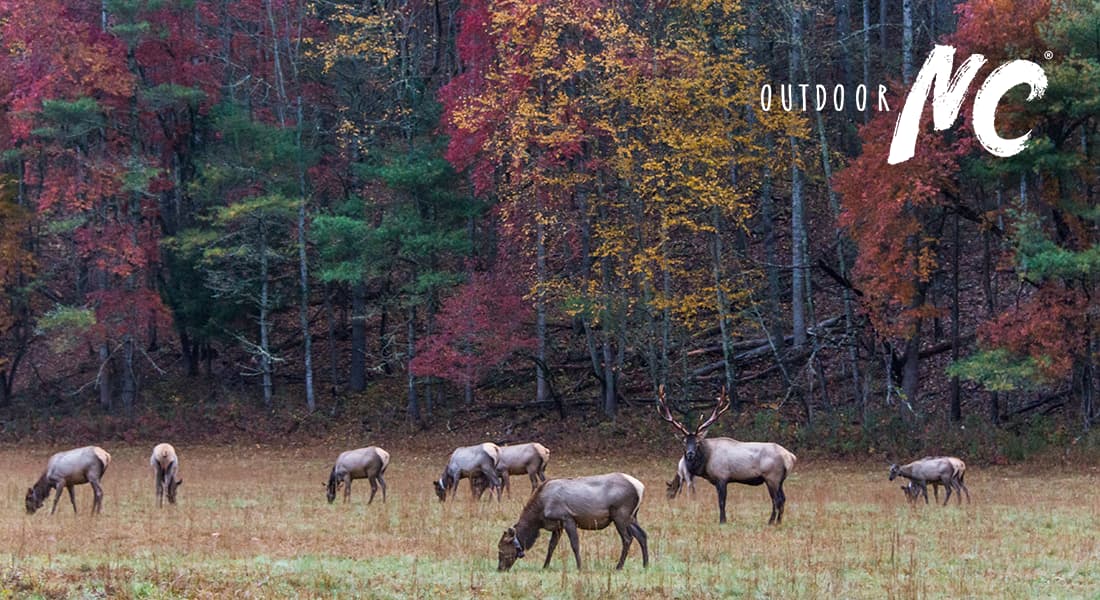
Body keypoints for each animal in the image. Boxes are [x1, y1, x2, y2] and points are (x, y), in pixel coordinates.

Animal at [496, 473, 649, 571]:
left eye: (501, 549)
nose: (500, 569)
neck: (540, 513)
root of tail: (641, 488)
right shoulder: (558, 526)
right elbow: (551, 546)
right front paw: (545, 566)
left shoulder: (567, 518)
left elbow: (575, 544)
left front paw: (580, 567)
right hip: (632, 516)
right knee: (642, 535)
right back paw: (646, 564)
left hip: (620, 515)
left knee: (627, 539)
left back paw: (619, 567)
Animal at [657, 386, 797, 524]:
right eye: (684, 442)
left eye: (697, 442)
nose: (690, 454)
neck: (706, 463)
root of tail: (790, 457)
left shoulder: (722, 477)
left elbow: (721, 502)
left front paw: (722, 521)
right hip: (780, 480)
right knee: (783, 499)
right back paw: (778, 522)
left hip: (772, 477)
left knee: (776, 500)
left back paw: (771, 522)